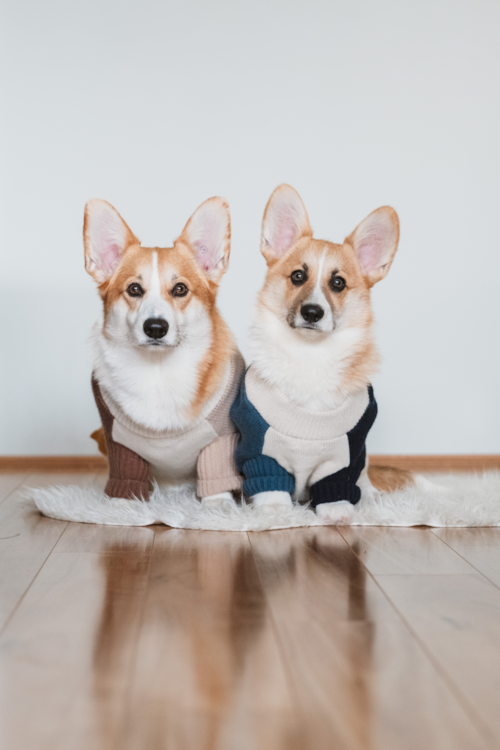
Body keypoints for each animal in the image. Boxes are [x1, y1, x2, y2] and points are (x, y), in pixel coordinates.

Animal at [84, 198, 244, 506]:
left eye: (180, 289)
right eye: (134, 289)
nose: (155, 328)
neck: (158, 371)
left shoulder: (220, 439)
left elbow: (216, 484)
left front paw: (219, 509)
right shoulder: (118, 441)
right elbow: (125, 482)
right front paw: (122, 508)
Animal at [229, 185, 410, 524]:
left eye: (338, 283)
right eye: (298, 276)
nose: (312, 312)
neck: (310, 355)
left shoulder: (347, 453)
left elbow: (337, 483)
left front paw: (337, 511)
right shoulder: (260, 448)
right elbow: (270, 484)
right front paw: (275, 512)